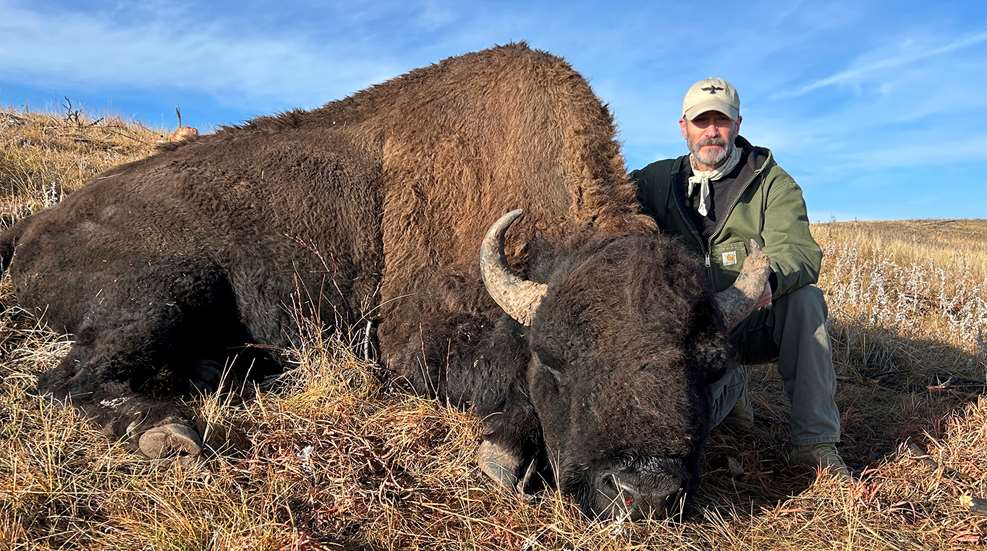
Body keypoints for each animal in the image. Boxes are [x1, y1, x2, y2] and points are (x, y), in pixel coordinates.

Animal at [0, 44, 769, 519]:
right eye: (555, 360)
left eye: (710, 363)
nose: (643, 492)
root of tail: (38, 224)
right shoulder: (411, 342)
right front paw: (502, 453)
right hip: (165, 290)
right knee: (68, 378)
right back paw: (168, 432)